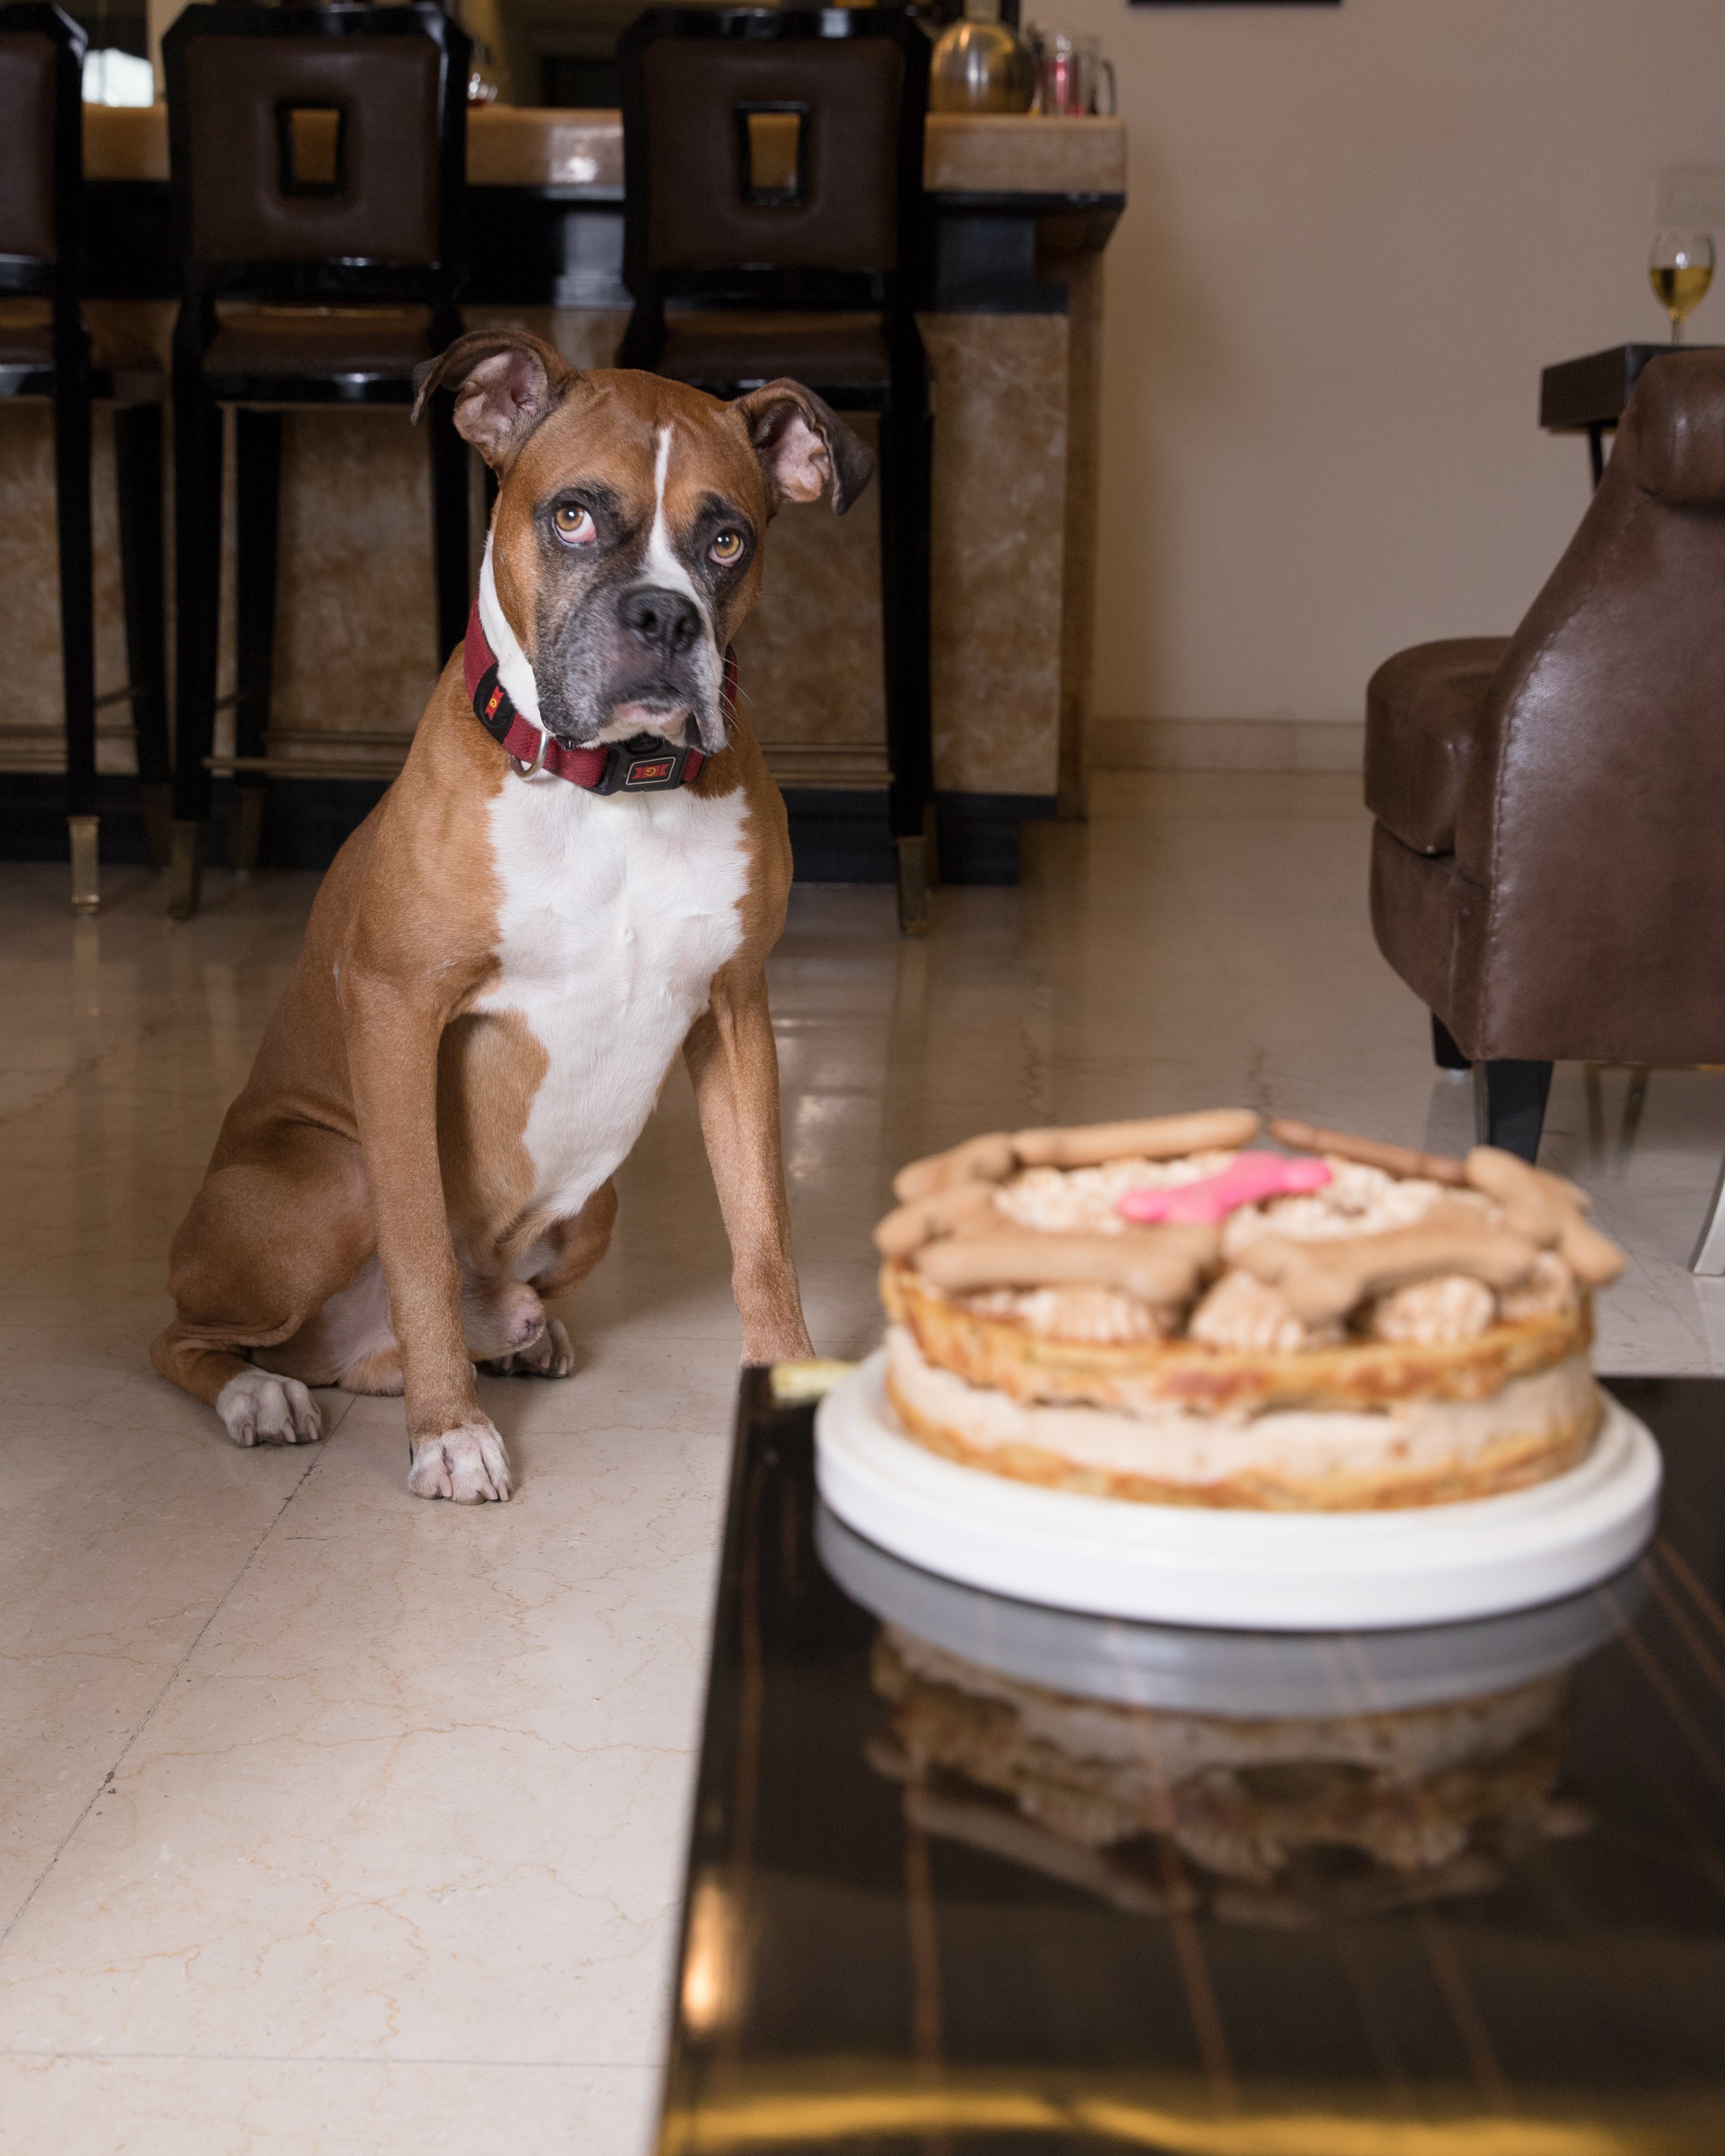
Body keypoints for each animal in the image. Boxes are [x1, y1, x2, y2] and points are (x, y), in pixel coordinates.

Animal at [152, 332, 862, 1500]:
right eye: (571, 517)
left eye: (726, 540)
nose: (665, 616)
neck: (612, 789)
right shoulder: (398, 1013)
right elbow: (417, 1250)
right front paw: (449, 1431)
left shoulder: (735, 1013)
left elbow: (762, 1232)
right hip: (325, 1176)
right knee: (189, 1335)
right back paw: (267, 1393)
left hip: (592, 1210)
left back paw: (514, 1339)